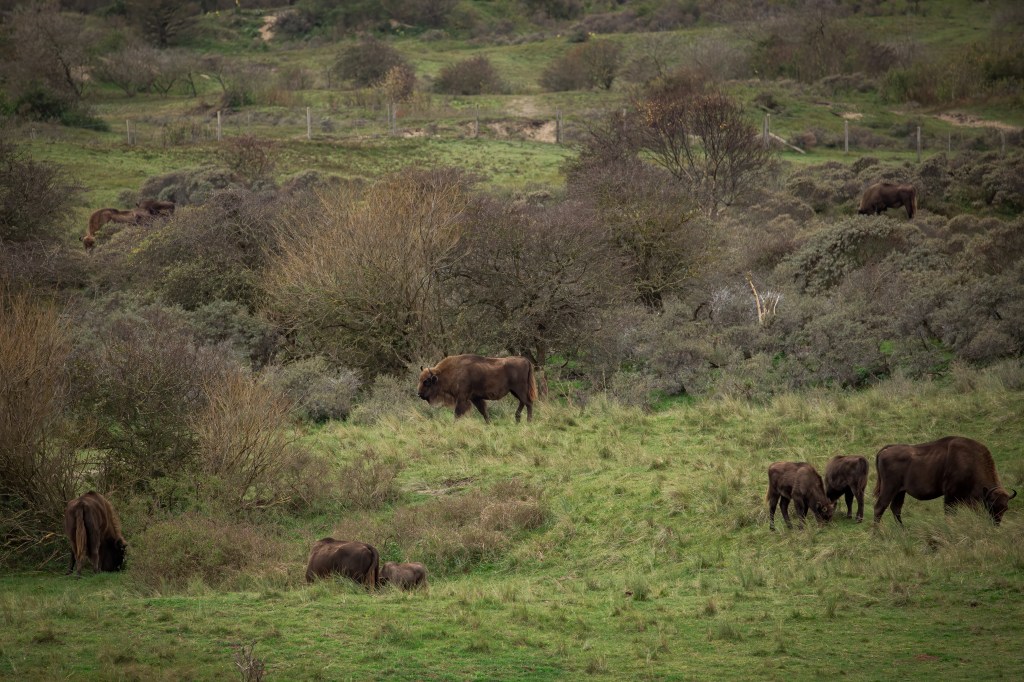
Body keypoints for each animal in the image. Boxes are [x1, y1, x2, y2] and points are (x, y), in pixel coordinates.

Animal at [874, 436, 1017, 525]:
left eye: (1005, 508)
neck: (971, 462)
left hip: (900, 491)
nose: (995, 524)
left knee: (896, 509)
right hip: (889, 488)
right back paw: (877, 535)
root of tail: (885, 450)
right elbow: (949, 513)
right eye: (992, 504)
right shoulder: (950, 495)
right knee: (879, 507)